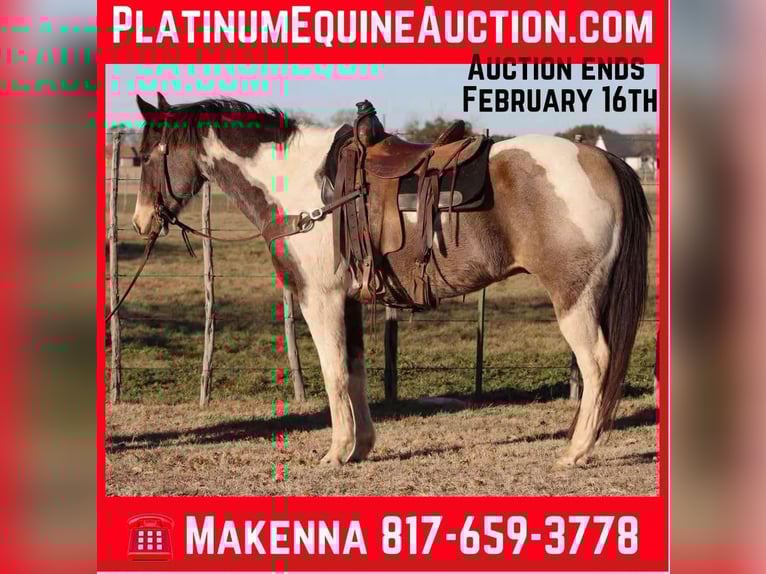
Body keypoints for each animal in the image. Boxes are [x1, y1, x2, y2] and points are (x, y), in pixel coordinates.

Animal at [131, 93, 650, 467]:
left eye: (148, 155)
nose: (140, 221)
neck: (304, 187)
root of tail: (601, 160)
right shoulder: (349, 300)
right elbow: (355, 373)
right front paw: (360, 447)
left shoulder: (320, 299)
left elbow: (333, 372)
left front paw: (336, 453)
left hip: (574, 298)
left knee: (597, 364)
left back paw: (575, 452)